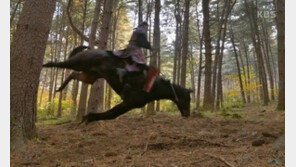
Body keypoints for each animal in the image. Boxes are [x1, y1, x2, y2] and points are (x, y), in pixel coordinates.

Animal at [43, 46, 192, 123]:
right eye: (188, 99)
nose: (188, 115)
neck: (154, 86)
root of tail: (93, 49)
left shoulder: (130, 104)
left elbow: (111, 115)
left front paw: (89, 117)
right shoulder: (129, 102)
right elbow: (111, 113)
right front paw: (89, 117)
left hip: (89, 76)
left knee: (73, 74)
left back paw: (60, 88)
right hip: (78, 62)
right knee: (60, 63)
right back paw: (46, 64)